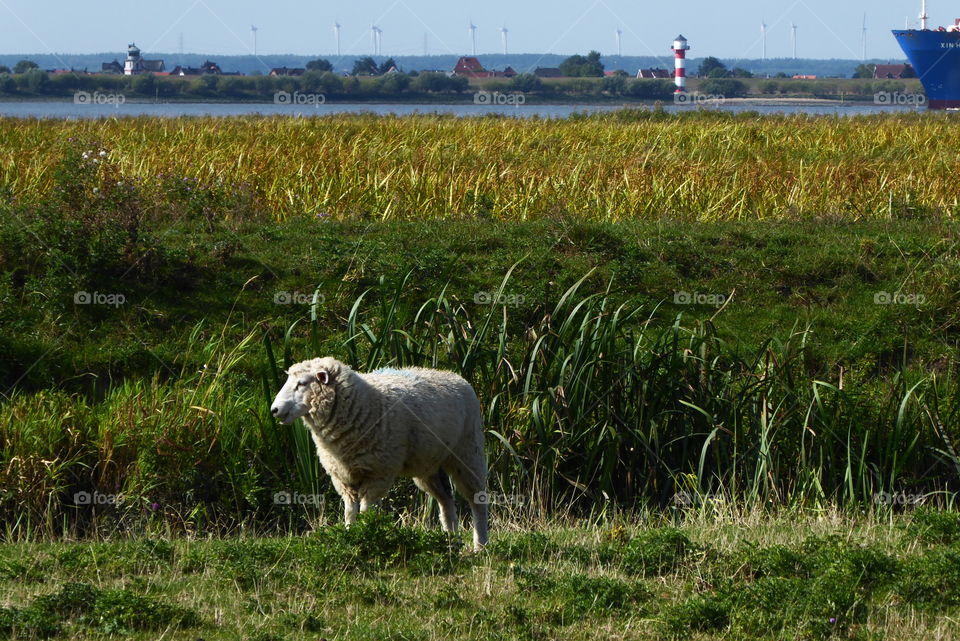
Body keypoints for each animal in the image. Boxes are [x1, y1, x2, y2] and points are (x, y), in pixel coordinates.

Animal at [270, 357, 489, 550]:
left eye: (302, 383)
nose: (274, 410)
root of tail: (455, 376)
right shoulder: (344, 478)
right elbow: (350, 511)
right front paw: (349, 537)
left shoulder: (378, 473)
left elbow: (367, 510)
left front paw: (368, 535)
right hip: (430, 464)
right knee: (446, 501)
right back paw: (451, 541)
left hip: (468, 452)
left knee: (477, 500)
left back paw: (480, 546)